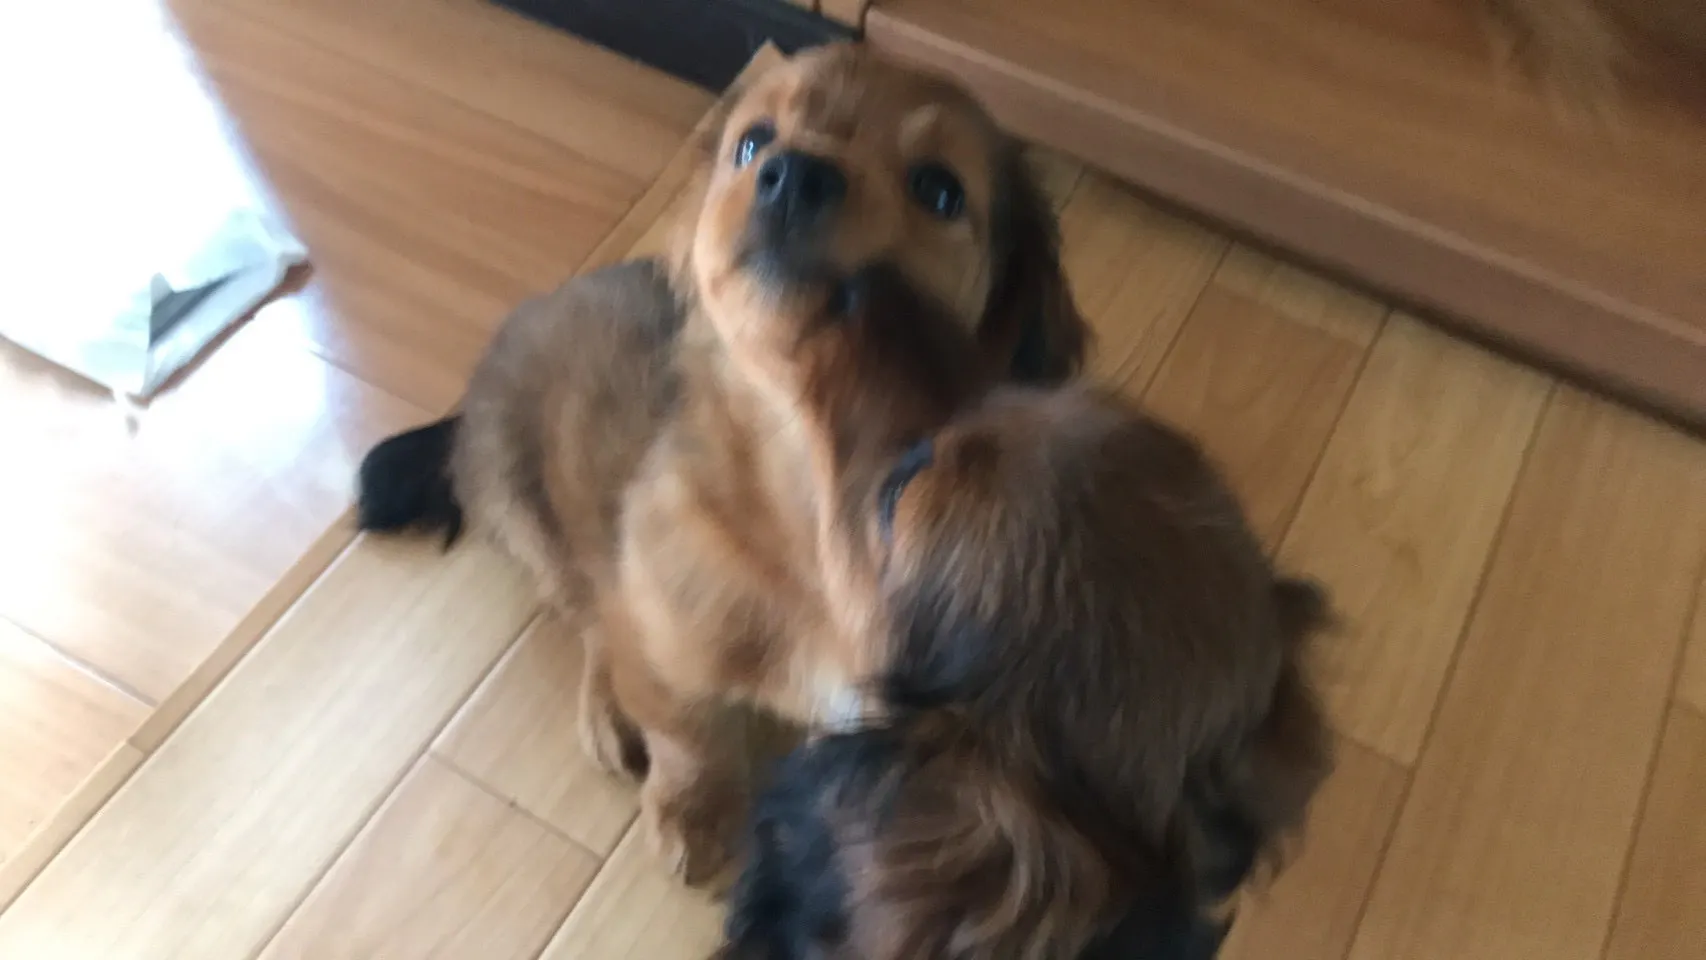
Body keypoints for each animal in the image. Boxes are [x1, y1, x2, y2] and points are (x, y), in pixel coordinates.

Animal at [355, 42, 1089, 885]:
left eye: (939, 189)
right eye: (753, 142)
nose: (792, 173)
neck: (810, 492)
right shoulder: (665, 621)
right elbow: (688, 733)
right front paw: (693, 814)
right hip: (526, 509)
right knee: (588, 612)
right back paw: (607, 708)